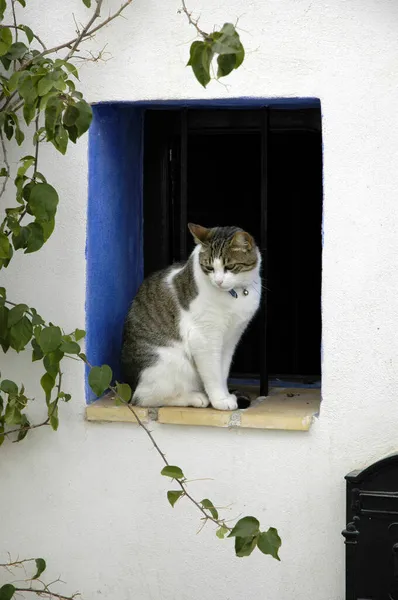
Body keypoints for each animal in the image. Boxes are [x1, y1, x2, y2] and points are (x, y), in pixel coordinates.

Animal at [121, 223, 264, 410]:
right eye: (209, 268)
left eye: (229, 267)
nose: (218, 281)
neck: (236, 293)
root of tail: (128, 385)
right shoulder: (204, 337)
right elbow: (212, 372)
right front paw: (220, 400)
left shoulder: (231, 337)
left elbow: (222, 370)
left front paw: (225, 395)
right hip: (169, 362)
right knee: (144, 398)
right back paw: (195, 397)